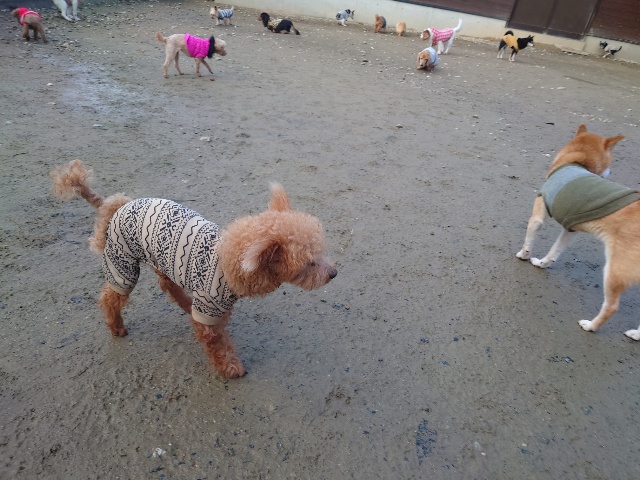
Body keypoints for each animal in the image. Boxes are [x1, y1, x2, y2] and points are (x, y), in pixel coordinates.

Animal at [50, 160, 337, 379]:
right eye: (310, 263)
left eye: (320, 254)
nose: (334, 273)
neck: (229, 260)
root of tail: (113, 205)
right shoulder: (208, 309)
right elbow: (217, 344)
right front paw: (231, 368)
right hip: (122, 262)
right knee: (110, 297)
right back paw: (116, 326)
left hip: (160, 259)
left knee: (166, 283)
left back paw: (184, 302)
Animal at [515, 124, 640, 341]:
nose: (611, 171)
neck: (576, 162)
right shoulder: (570, 229)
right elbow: (554, 252)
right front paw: (541, 264)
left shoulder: (538, 216)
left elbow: (529, 241)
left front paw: (523, 255)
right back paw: (636, 334)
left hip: (614, 272)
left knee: (611, 307)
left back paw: (590, 326)